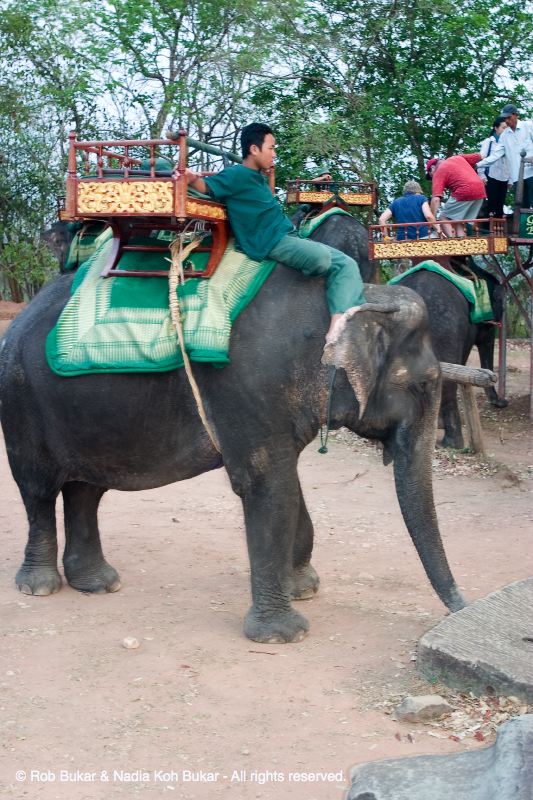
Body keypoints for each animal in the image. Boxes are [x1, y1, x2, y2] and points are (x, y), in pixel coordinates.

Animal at [0, 256, 466, 644]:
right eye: (422, 385)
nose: (460, 608)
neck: (356, 295)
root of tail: (21, 316)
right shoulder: (246, 388)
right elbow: (268, 488)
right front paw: (283, 635)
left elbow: (287, 485)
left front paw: (303, 589)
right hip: (21, 402)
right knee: (38, 491)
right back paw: (40, 586)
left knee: (85, 491)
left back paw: (99, 583)